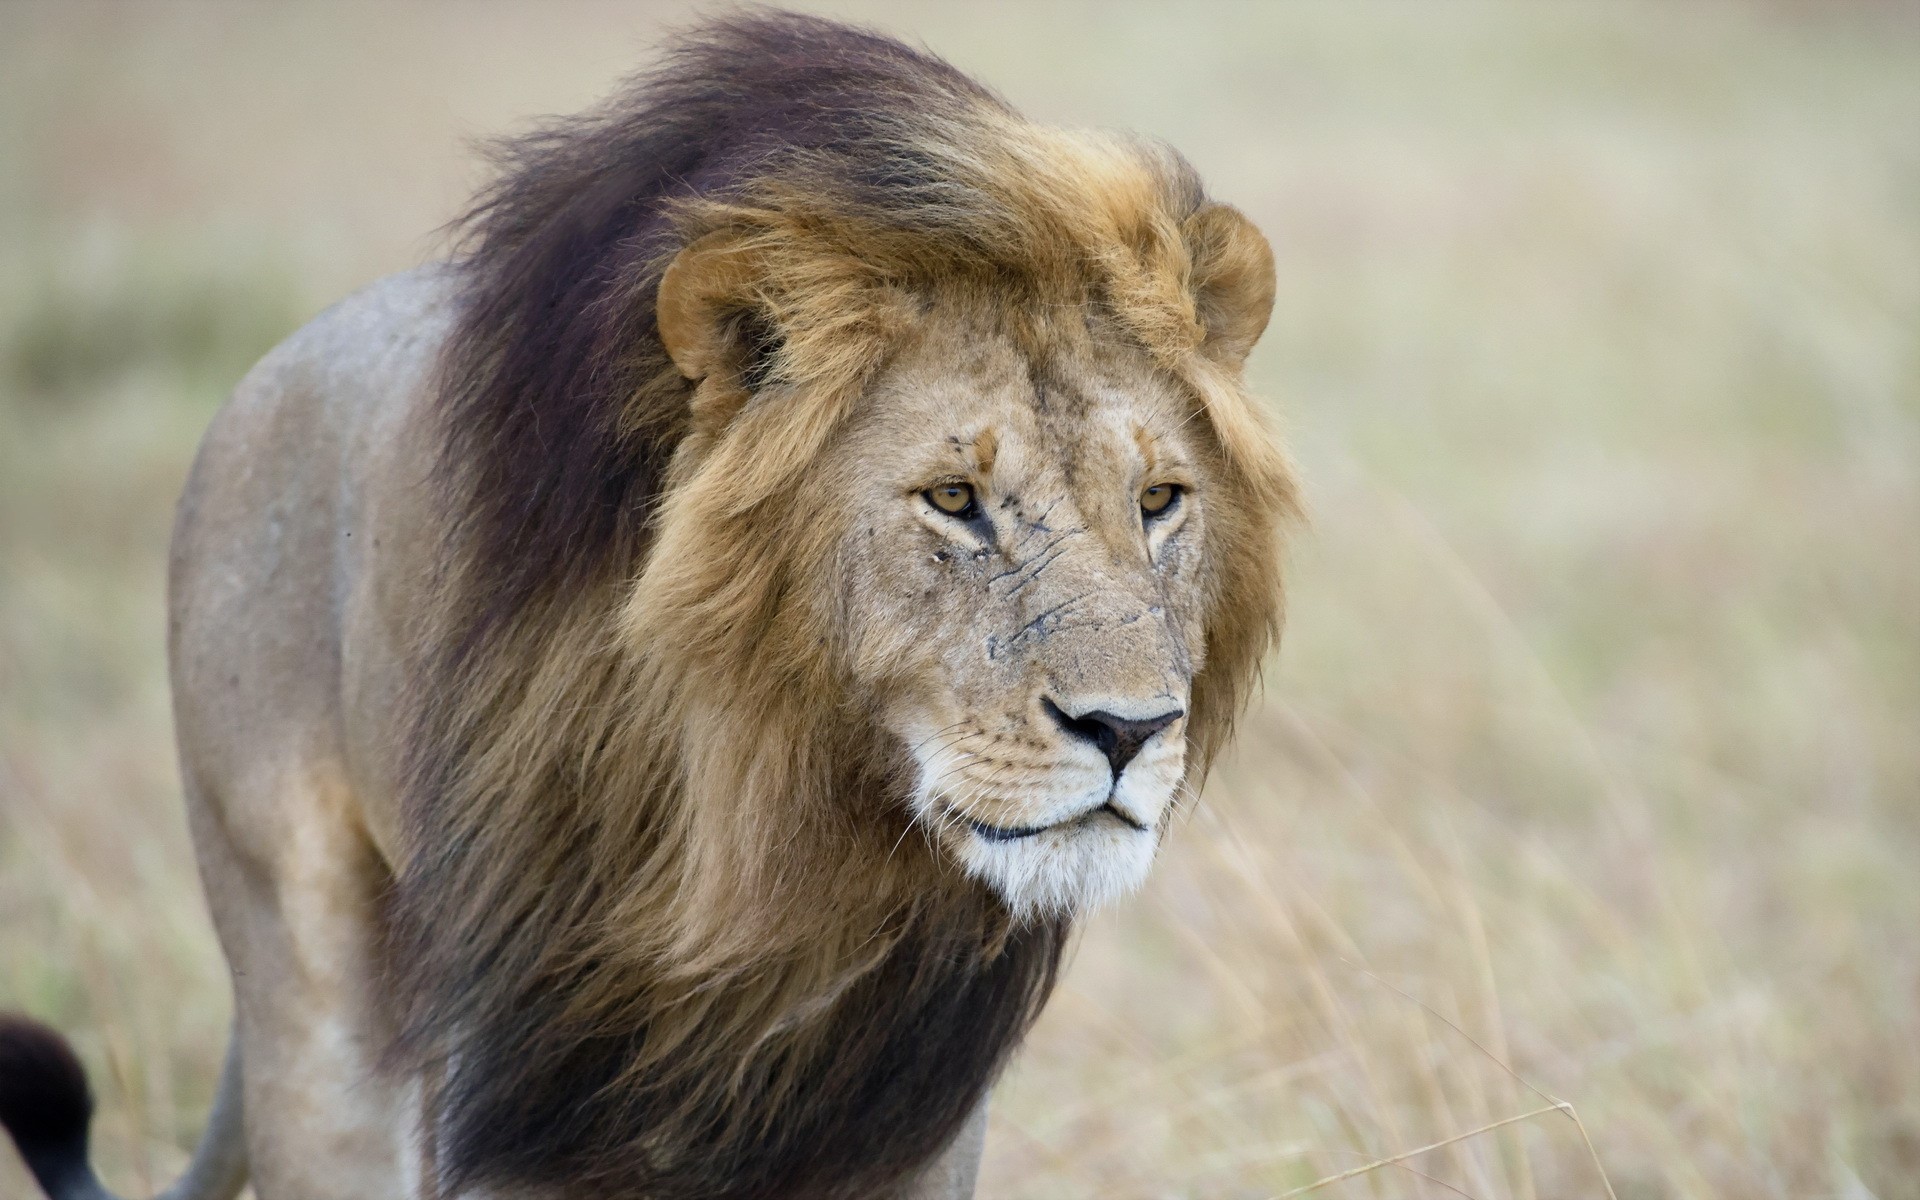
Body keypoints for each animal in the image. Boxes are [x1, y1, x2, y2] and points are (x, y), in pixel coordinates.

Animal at [0, 12, 1295, 1200]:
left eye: (1159, 500)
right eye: (954, 500)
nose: (1130, 731)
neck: (779, 819)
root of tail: (270, 366)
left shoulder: (902, 1101)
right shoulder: (524, 1073)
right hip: (305, 988)